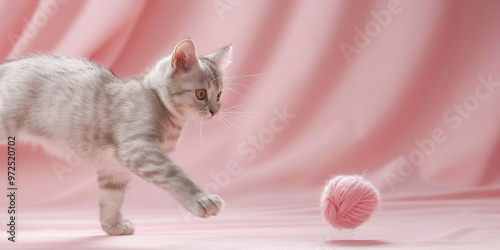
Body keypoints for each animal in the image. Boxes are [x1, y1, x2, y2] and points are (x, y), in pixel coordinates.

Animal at [0, 38, 231, 234]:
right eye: (200, 94)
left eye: (219, 95)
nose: (214, 111)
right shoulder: (137, 150)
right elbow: (174, 174)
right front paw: (201, 200)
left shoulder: (114, 168)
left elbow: (111, 198)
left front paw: (112, 226)